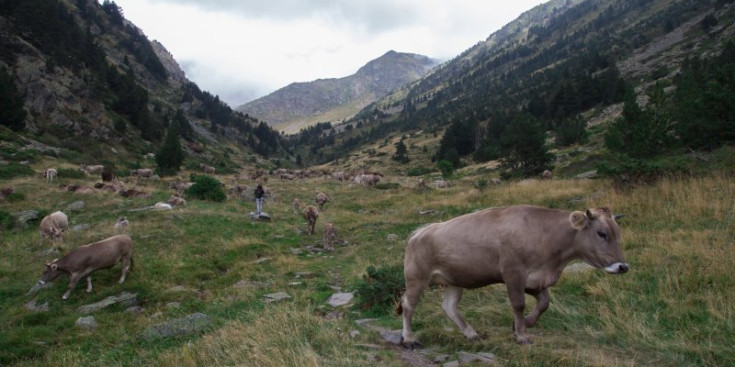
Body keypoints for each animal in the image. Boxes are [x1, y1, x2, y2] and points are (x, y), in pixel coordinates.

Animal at [400, 206, 628, 350]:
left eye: (618, 233)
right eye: (601, 233)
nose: (623, 266)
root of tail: (419, 232)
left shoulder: (536, 279)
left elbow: (544, 303)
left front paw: (525, 324)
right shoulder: (513, 272)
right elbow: (518, 304)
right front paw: (522, 335)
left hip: (454, 279)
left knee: (449, 307)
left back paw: (471, 334)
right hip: (417, 276)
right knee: (408, 305)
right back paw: (409, 339)